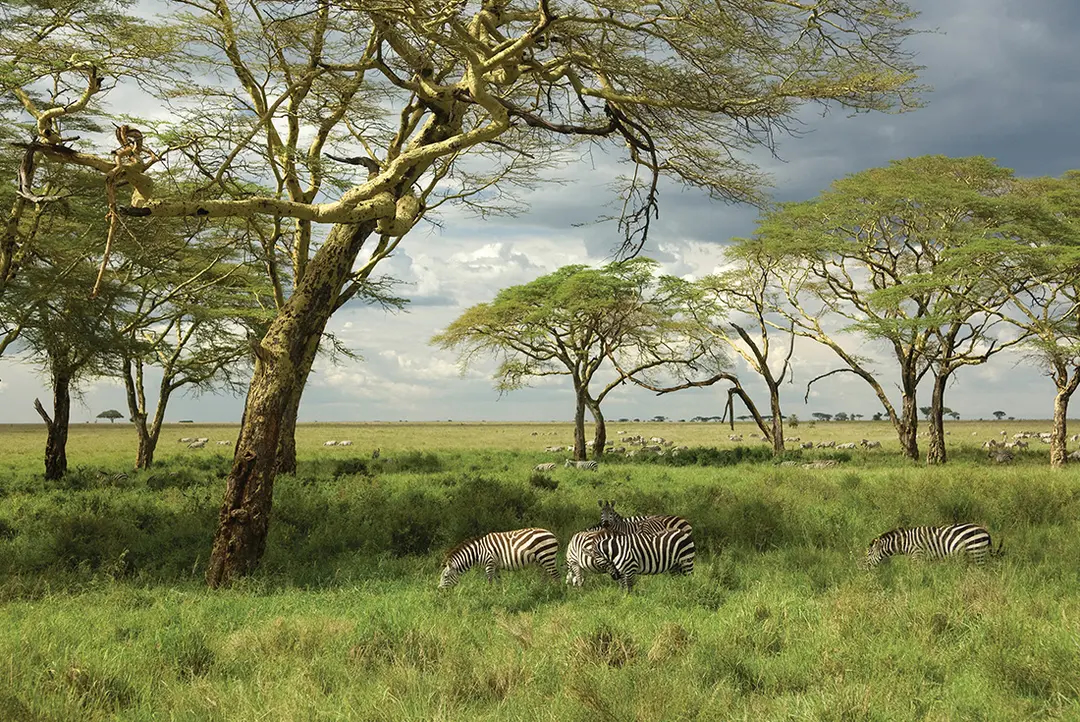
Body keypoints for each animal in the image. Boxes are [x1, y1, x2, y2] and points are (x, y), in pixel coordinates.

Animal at [859, 524, 993, 569]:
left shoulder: (917, 556)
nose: (862, 568)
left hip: (977, 552)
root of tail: (985, 531)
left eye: (869, 554)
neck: (905, 543)